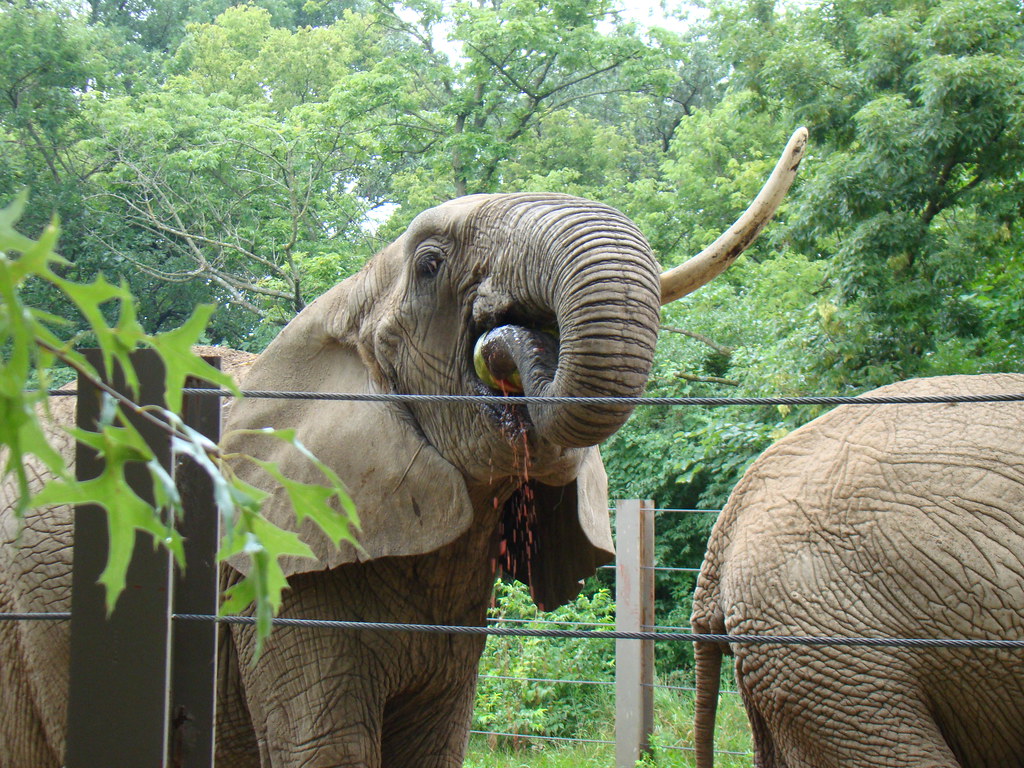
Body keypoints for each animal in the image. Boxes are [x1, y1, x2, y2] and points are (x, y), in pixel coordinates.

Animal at [0, 130, 808, 768]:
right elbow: (327, 748)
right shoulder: (281, 576)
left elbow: (434, 743)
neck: (349, 298)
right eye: (429, 264)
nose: (506, 344)